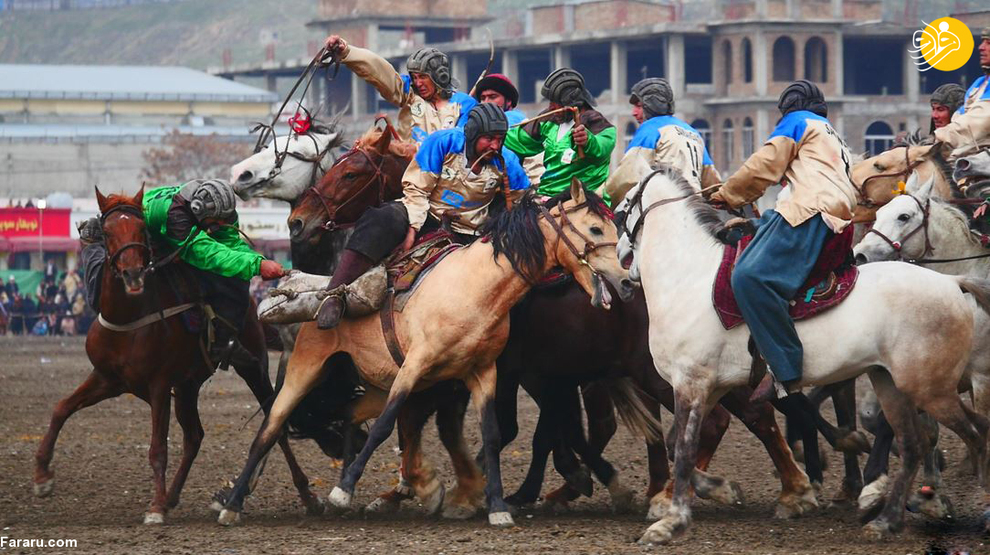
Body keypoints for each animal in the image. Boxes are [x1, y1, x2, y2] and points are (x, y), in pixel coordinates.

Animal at [32, 189, 322, 524]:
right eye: (107, 232)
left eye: (140, 230)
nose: (133, 274)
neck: (130, 318)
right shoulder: (107, 379)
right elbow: (61, 409)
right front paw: (42, 476)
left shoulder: (158, 384)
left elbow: (158, 448)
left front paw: (155, 507)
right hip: (187, 387)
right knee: (195, 436)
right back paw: (172, 496)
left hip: (253, 369)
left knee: (276, 428)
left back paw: (306, 495)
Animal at [616, 164, 990, 544]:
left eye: (623, 208)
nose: (620, 258)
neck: (689, 280)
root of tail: (952, 283)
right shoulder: (709, 387)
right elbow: (678, 442)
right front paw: (720, 488)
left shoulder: (691, 383)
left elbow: (684, 448)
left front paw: (671, 521)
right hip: (891, 384)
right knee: (914, 444)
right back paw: (886, 520)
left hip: (932, 389)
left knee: (977, 433)